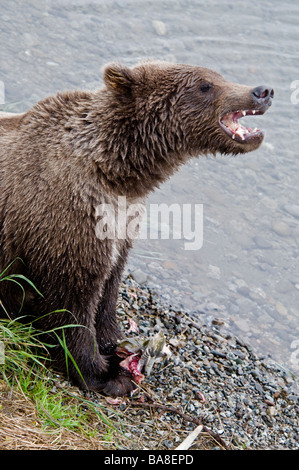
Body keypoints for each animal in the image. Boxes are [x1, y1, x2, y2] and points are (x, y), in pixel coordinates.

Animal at [0, 60, 274, 394]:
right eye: (205, 85)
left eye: (219, 75)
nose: (262, 90)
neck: (118, 174)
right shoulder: (66, 219)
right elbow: (71, 304)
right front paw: (103, 373)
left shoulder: (122, 224)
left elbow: (108, 290)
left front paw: (114, 343)